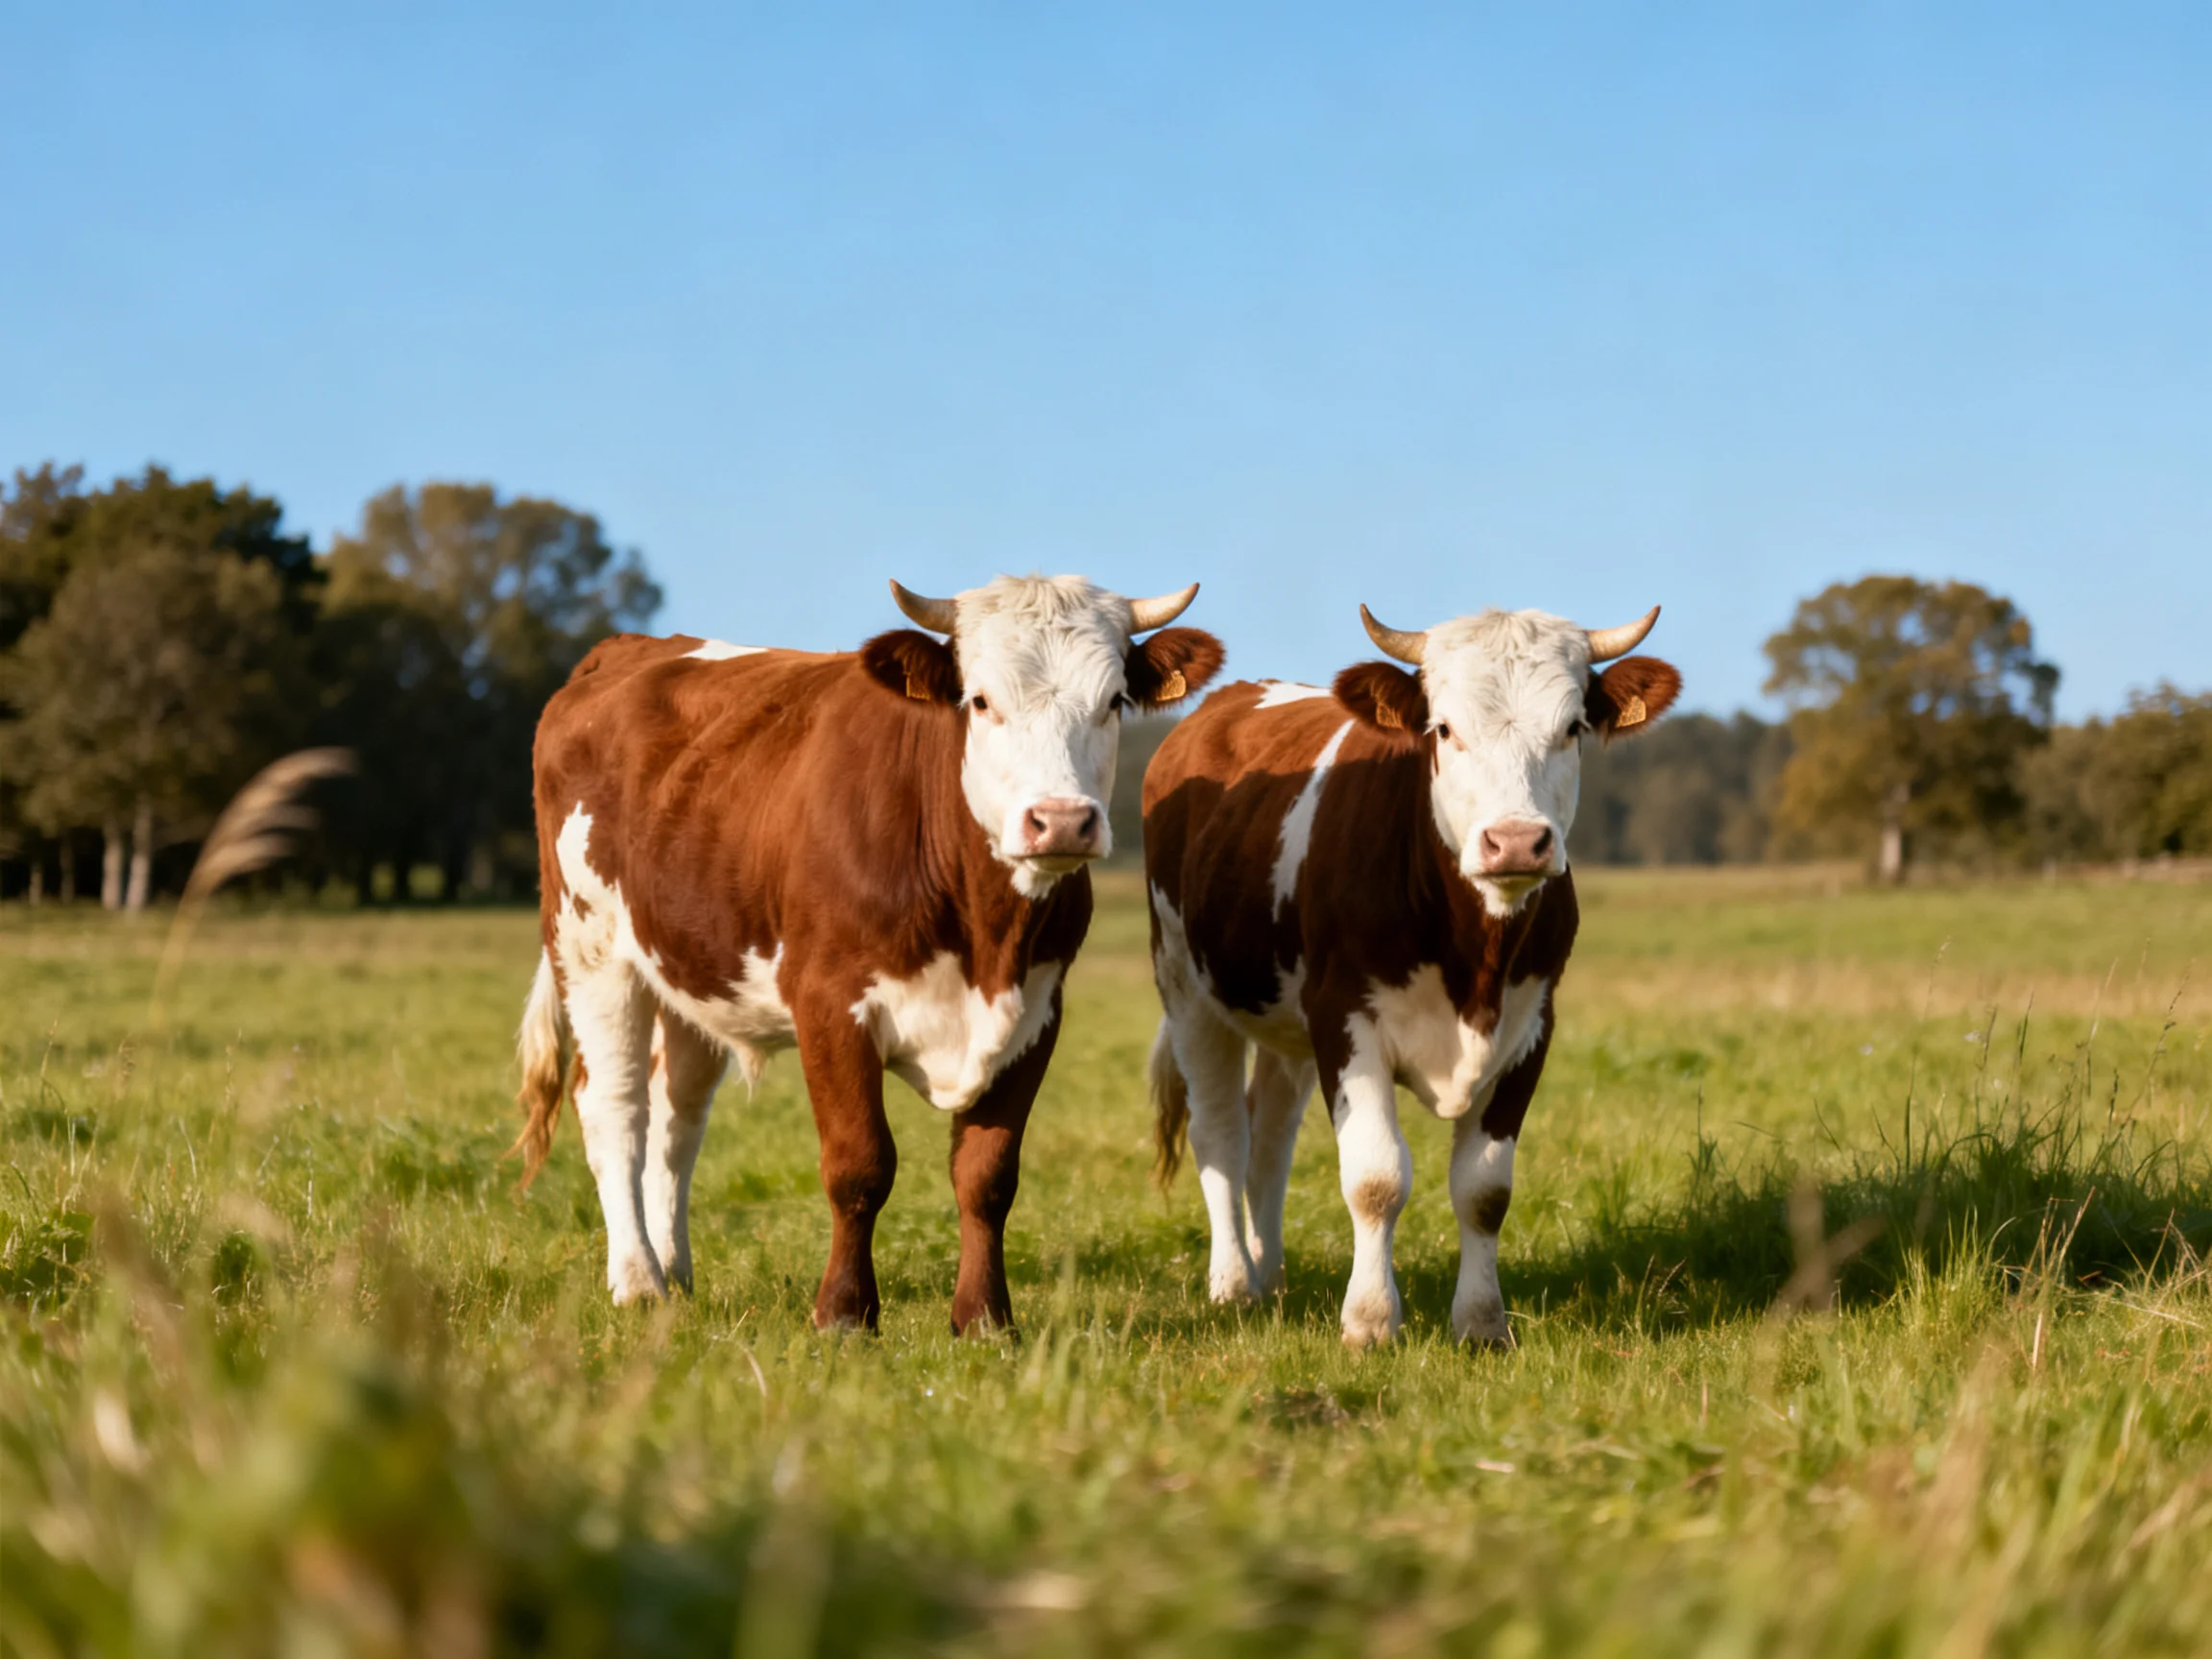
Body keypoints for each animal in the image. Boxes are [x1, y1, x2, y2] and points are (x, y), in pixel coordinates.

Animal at [514, 575, 1225, 1332]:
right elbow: (860, 1164)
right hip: (590, 949)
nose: (1061, 821)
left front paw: (984, 1319)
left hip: (687, 969)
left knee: (676, 1117)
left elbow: (988, 1174)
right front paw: (844, 1315)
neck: (983, 935)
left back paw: (674, 1272)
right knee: (614, 1109)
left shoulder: (1036, 1014)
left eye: (1114, 700)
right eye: (980, 700)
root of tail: (626, 650)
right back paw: (638, 1280)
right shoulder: (830, 1004)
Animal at [1143, 602, 1679, 1347]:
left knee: (1270, 1137)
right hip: (1187, 988)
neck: (1473, 959)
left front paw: (1482, 1324)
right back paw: (1234, 1286)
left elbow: (1484, 1189)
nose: (1516, 842)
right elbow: (1375, 1178)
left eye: (1572, 727)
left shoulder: (1531, 1030)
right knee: (1221, 1132)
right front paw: (1369, 1321)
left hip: (1286, 1023)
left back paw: (1271, 1275)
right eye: (1444, 728)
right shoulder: (1346, 1021)